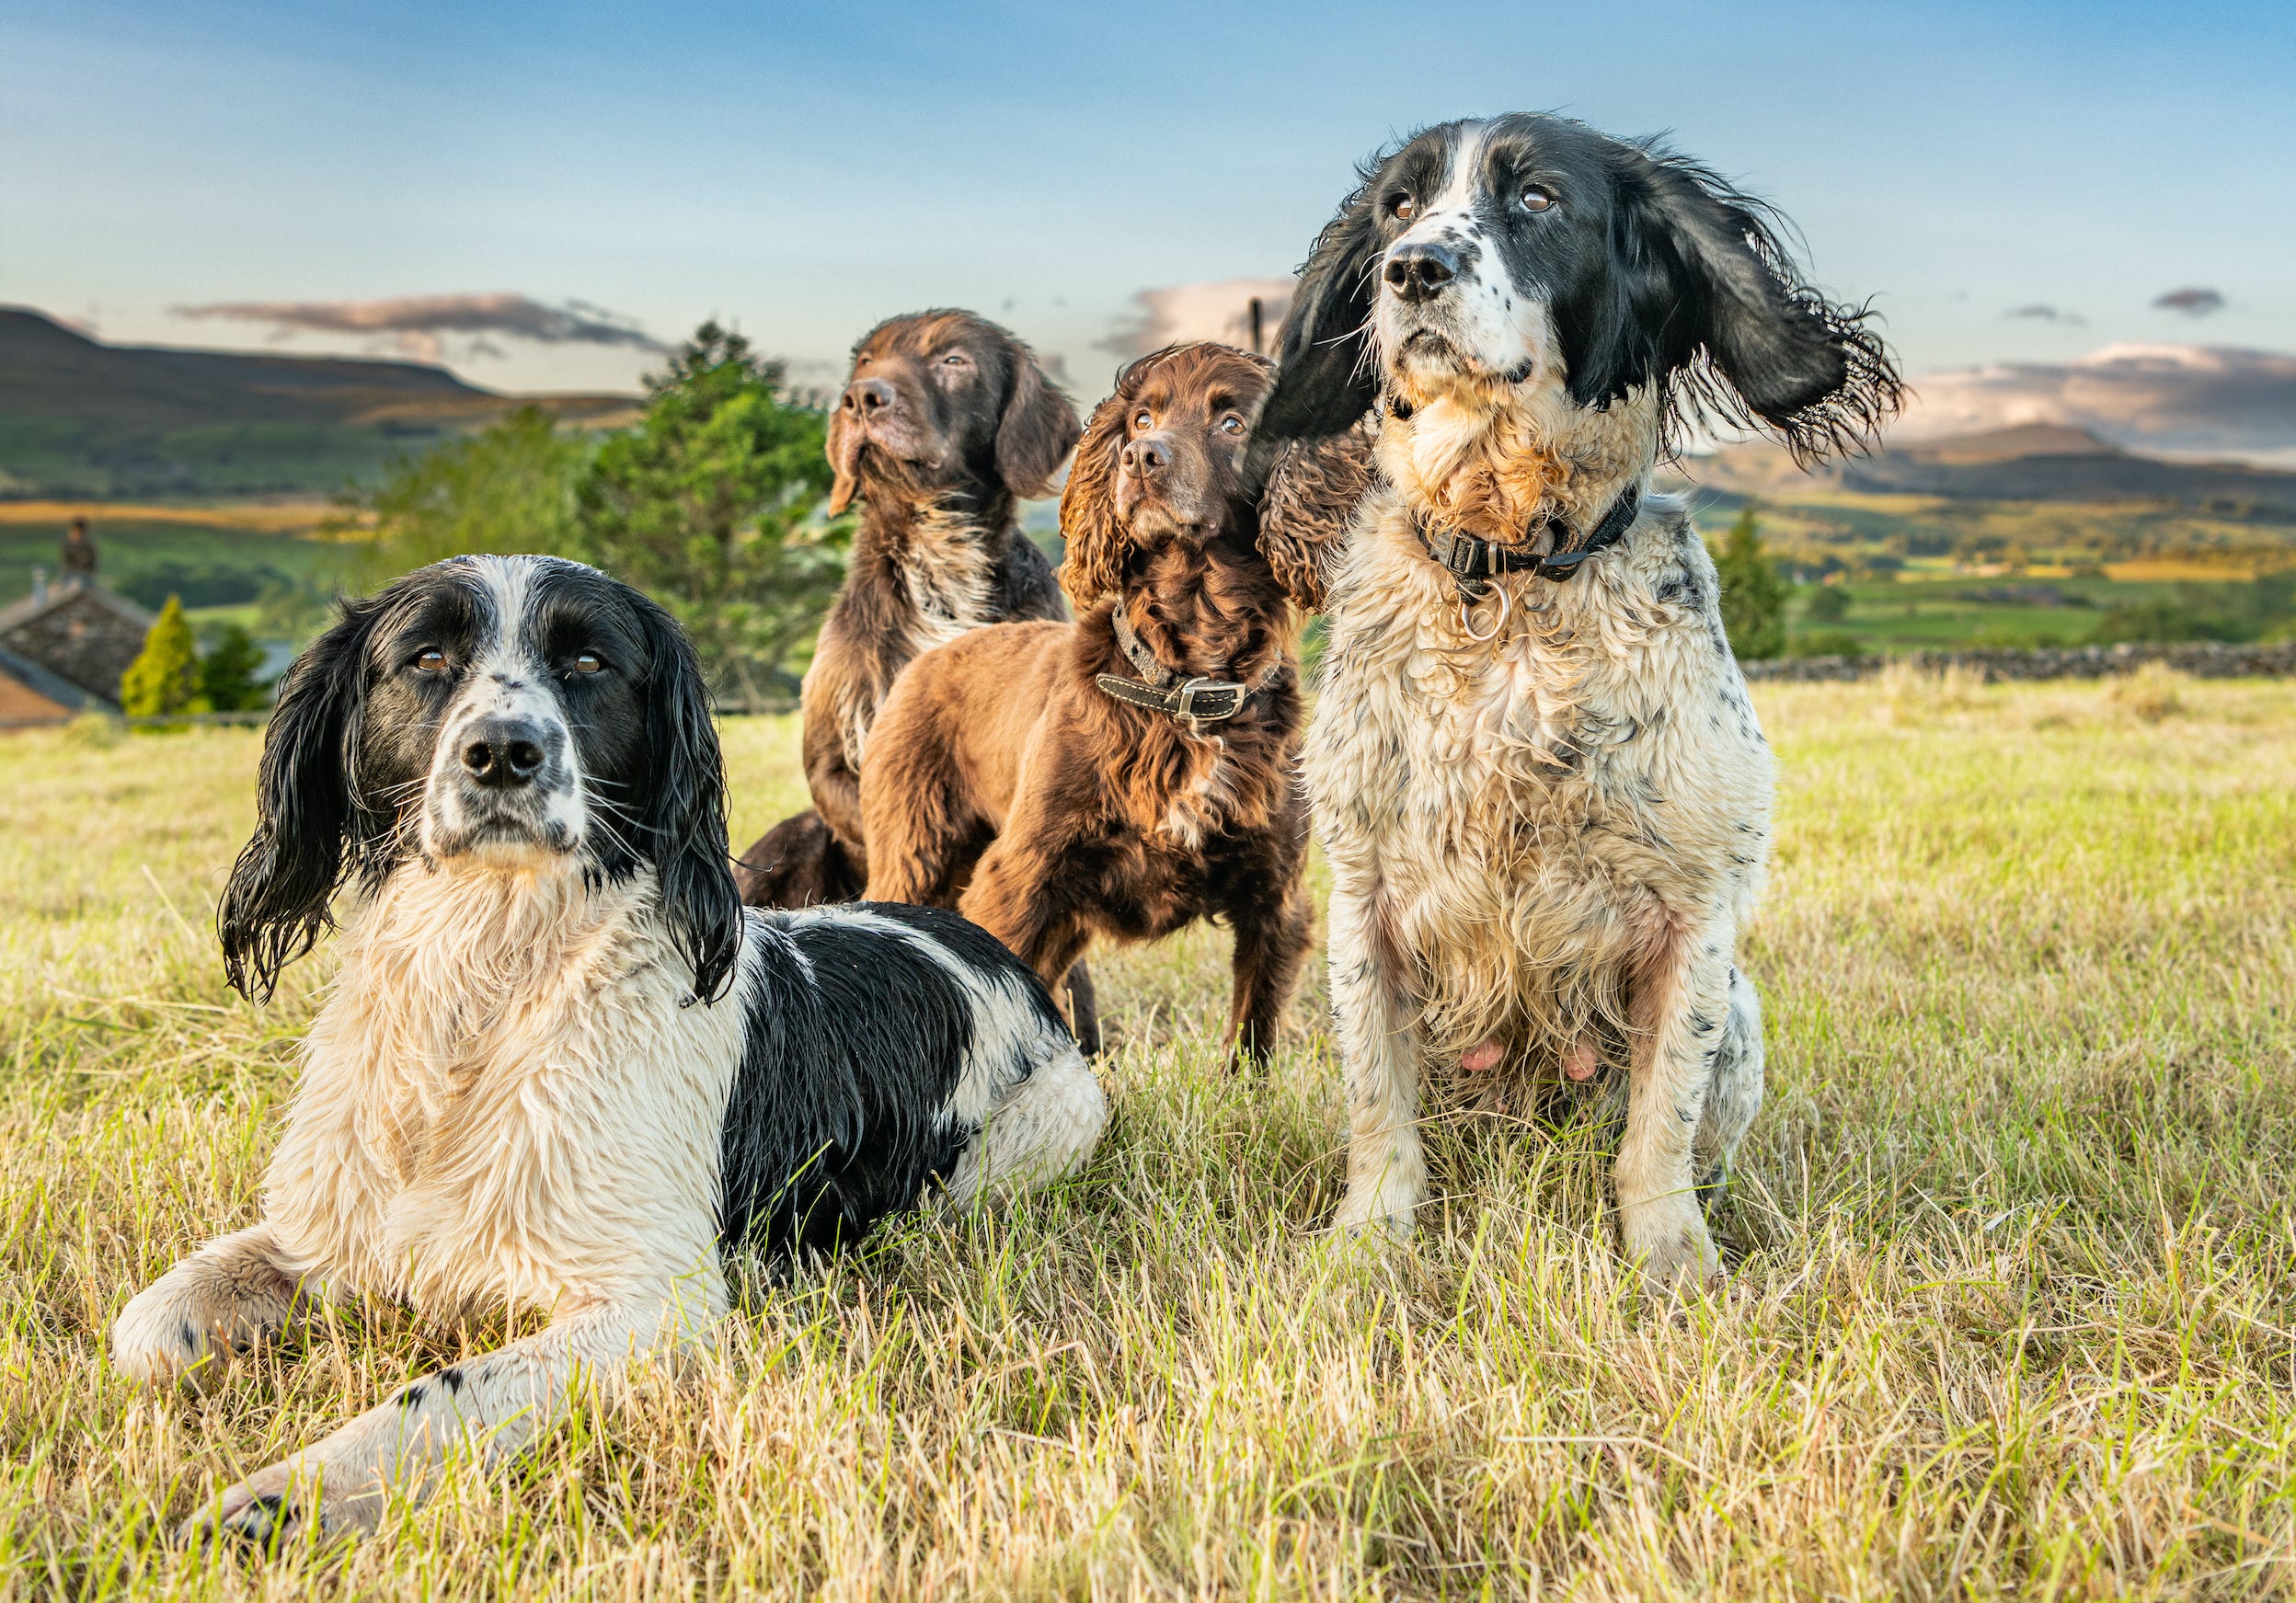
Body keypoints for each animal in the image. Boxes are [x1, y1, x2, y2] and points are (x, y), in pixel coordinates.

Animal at [114, 555, 1102, 1543]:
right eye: (427, 656)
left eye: (589, 661)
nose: (503, 751)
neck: (488, 994)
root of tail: (986, 946)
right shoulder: (328, 1227)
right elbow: (147, 1326)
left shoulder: (652, 1300)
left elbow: (434, 1396)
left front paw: (277, 1498)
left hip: (1040, 1128)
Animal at [743, 312, 1084, 909]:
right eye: (865, 360)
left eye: (953, 360)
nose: (862, 398)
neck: (941, 560)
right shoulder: (837, 764)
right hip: (792, 836)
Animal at [858, 339, 1349, 1060]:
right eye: (1142, 418)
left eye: (1233, 423)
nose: (1141, 458)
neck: (1188, 677)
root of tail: (932, 655)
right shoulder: (1021, 875)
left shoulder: (1275, 893)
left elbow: (1252, 1035)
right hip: (915, 852)